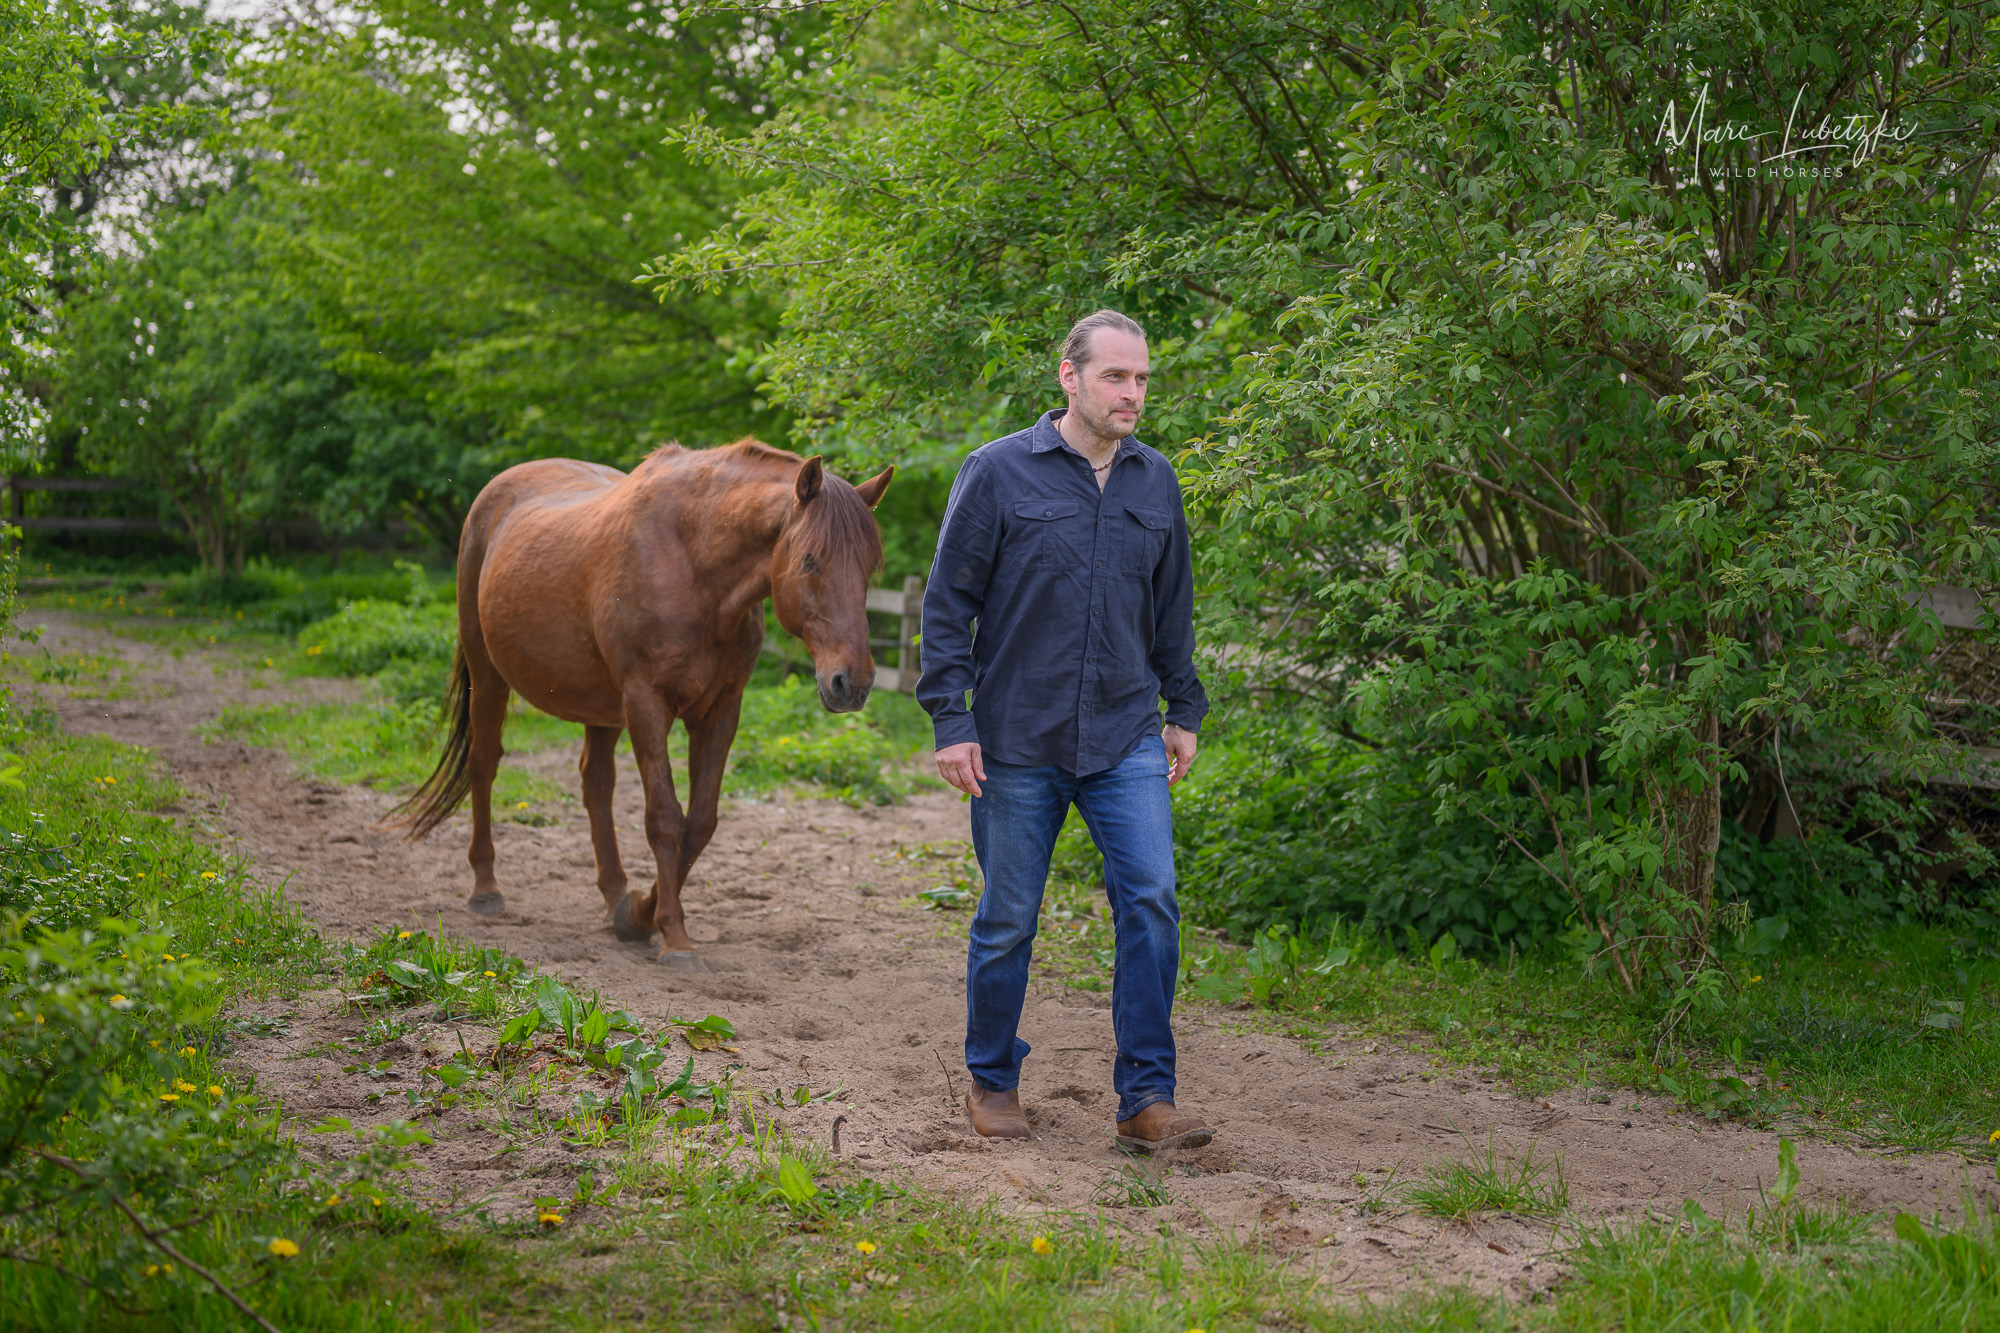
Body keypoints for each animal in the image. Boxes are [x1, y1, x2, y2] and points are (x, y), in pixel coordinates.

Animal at [388, 440, 892, 969]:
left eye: (870, 568)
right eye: (811, 561)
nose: (853, 682)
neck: (694, 566)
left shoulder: (720, 711)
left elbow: (699, 824)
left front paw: (636, 915)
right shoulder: (646, 704)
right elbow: (665, 819)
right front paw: (674, 937)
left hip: (600, 706)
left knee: (596, 784)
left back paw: (614, 895)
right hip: (488, 674)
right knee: (484, 764)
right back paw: (485, 887)